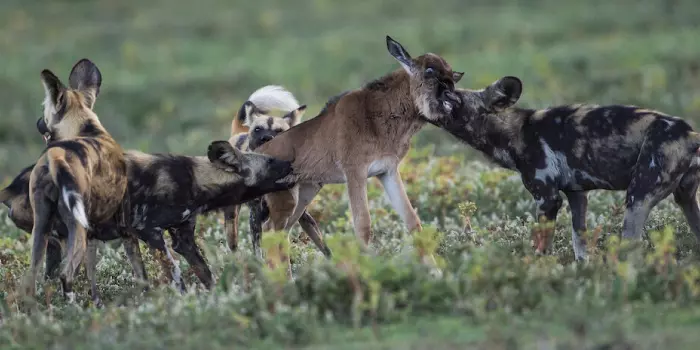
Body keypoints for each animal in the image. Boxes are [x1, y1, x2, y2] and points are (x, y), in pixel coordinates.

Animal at [27, 58, 129, 302]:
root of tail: (57, 155)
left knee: (32, 275)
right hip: (78, 232)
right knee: (66, 275)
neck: (85, 127)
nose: (38, 122)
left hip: (41, 227)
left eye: (44, 110)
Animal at [226, 85, 332, 258]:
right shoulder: (256, 215)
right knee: (233, 244)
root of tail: (238, 134)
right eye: (258, 129)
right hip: (233, 222)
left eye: (279, 131)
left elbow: (324, 246)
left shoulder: (299, 214)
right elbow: (259, 250)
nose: (267, 138)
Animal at [424, 76, 700, 262]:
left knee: (631, 249)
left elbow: (542, 247)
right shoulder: (577, 195)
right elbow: (580, 244)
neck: (516, 133)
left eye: (453, 99)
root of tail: (690, 134)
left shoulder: (547, 199)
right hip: (685, 200)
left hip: (637, 199)